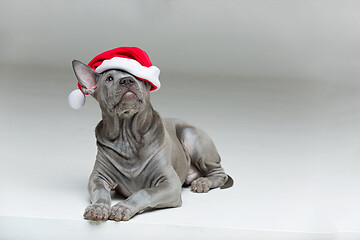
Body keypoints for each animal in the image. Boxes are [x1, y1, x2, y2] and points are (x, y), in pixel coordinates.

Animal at [71, 54, 233, 221]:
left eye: (137, 76)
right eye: (109, 78)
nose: (127, 80)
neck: (127, 137)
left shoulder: (170, 184)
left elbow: (144, 192)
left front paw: (123, 207)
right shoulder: (98, 178)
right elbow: (101, 192)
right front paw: (98, 207)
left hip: (191, 136)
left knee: (219, 173)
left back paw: (203, 182)